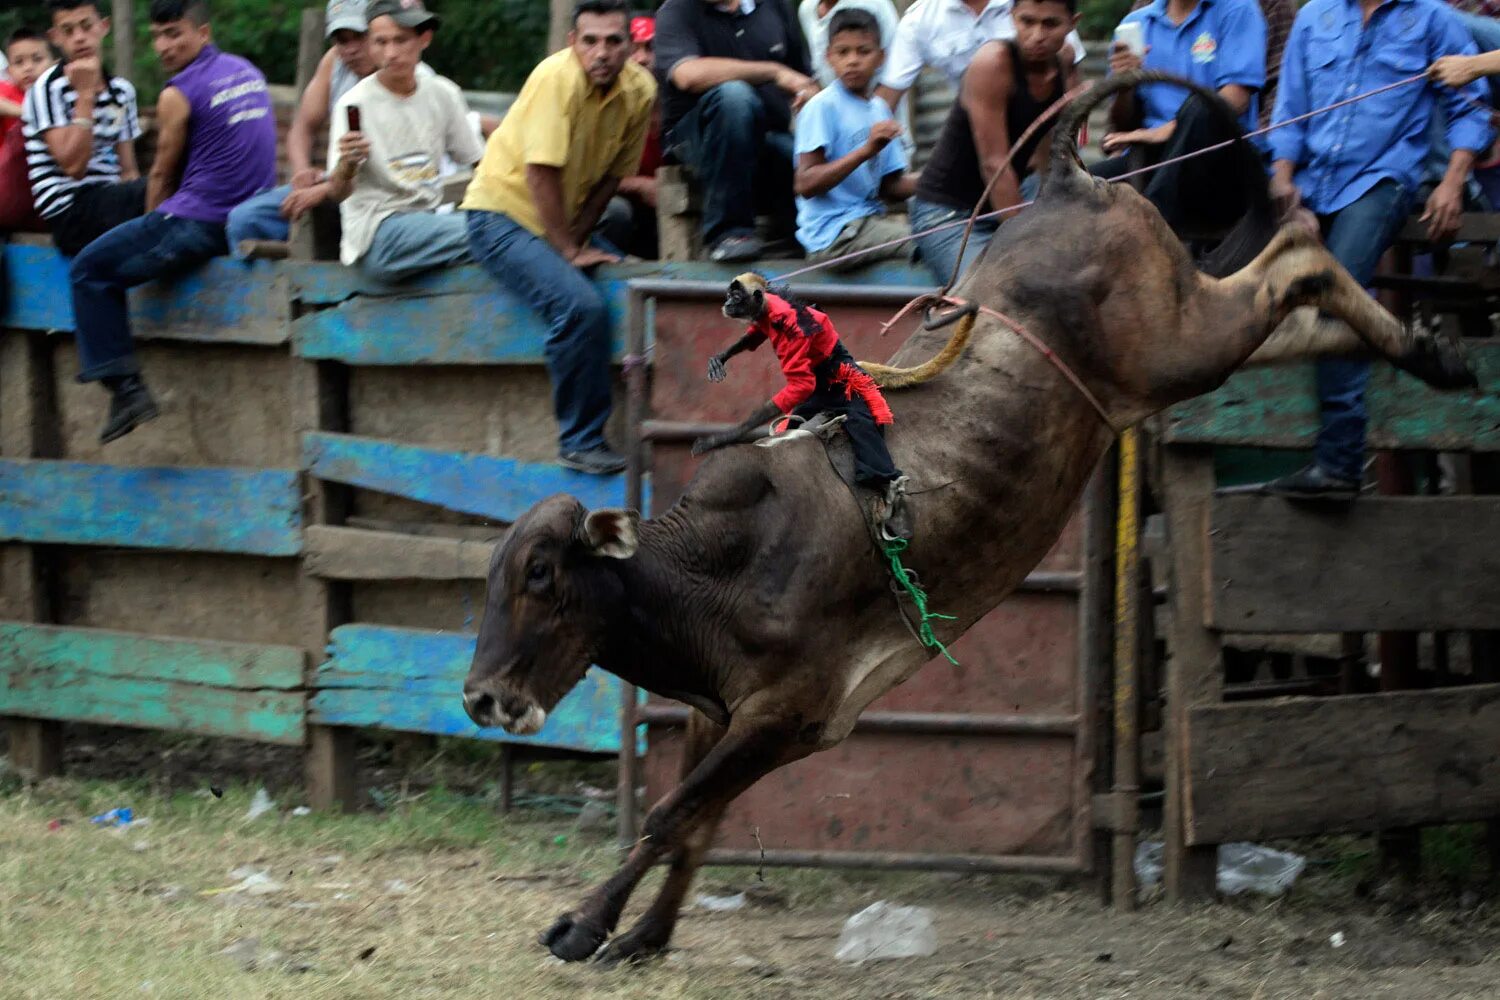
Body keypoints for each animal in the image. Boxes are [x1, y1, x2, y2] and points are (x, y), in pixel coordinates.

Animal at [456, 74, 1476, 965]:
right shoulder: (723, 715)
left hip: (1176, 343)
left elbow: (673, 816)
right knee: (1298, 304)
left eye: (541, 576)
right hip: (1179, 348)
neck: (720, 568)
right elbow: (696, 824)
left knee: (1295, 256)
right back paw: (1431, 352)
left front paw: (584, 924)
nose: (481, 700)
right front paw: (647, 934)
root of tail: (1064, 179)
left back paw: (1421, 342)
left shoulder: (786, 713)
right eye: (490, 583)